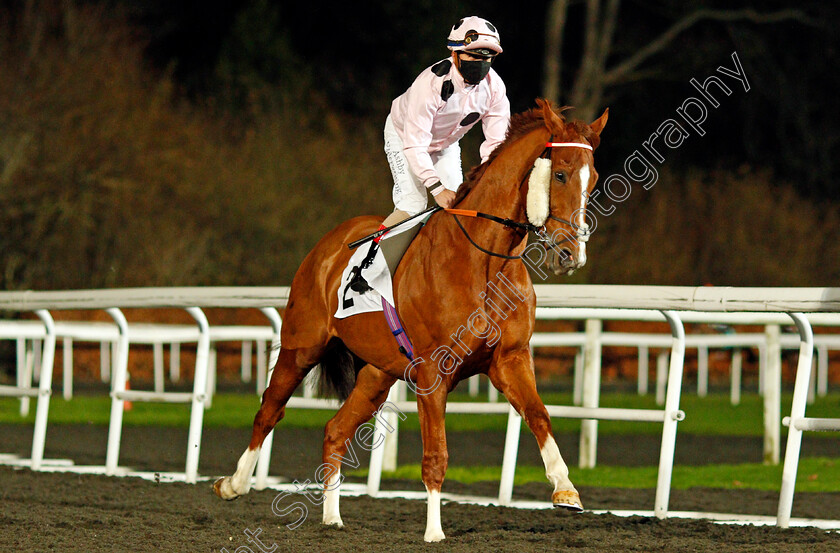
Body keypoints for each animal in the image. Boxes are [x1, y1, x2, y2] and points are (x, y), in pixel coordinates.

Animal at [213, 98, 608, 540]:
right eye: (560, 174)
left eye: (593, 179)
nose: (571, 255)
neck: (484, 261)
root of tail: (328, 244)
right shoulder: (433, 370)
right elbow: (436, 453)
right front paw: (434, 530)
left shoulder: (509, 358)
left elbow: (539, 415)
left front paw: (566, 488)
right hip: (302, 345)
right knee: (269, 409)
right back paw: (234, 484)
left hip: (377, 372)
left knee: (335, 431)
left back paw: (332, 516)